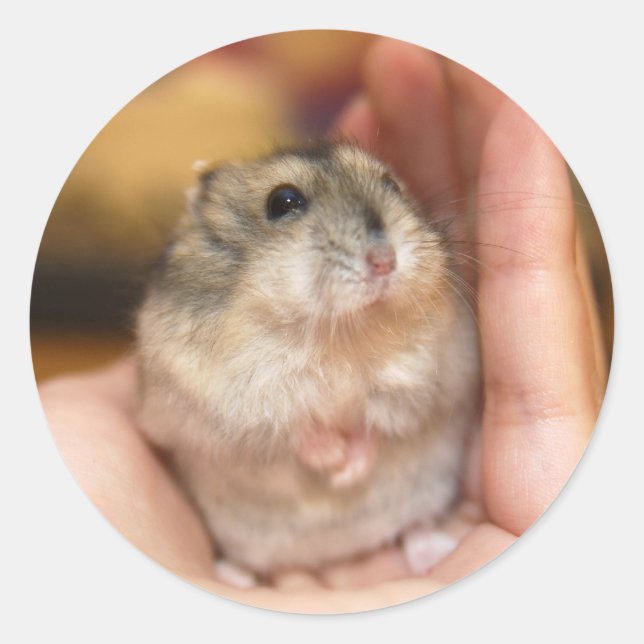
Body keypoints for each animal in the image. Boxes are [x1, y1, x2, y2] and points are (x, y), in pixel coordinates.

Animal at [135, 141, 480, 585]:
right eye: (283, 202)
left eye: (392, 185)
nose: (385, 261)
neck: (339, 336)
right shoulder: (227, 404)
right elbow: (292, 426)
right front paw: (333, 461)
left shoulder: (422, 383)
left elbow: (377, 421)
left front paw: (348, 472)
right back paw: (232, 575)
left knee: (415, 526)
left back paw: (435, 554)